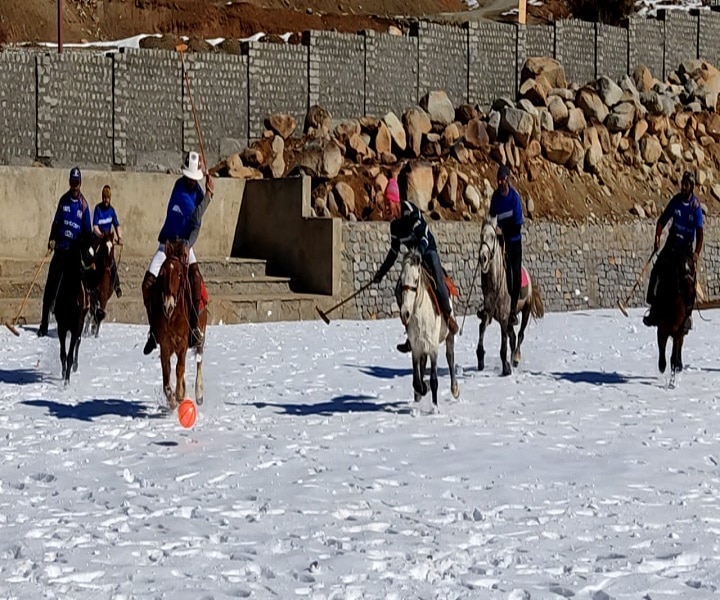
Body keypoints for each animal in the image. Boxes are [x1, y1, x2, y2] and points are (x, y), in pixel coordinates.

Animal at [150, 241, 207, 410]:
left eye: (180, 274)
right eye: (162, 274)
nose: (168, 305)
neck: (173, 315)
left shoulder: (182, 342)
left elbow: (179, 369)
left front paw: (180, 394)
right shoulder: (165, 344)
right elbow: (166, 371)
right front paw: (172, 398)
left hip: (201, 334)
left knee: (199, 360)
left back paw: (198, 394)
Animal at [396, 248, 458, 408]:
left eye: (416, 280)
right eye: (401, 280)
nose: (405, 313)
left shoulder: (433, 348)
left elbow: (434, 380)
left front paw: (434, 407)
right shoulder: (416, 349)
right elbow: (416, 381)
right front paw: (421, 390)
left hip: (449, 336)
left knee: (450, 358)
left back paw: (455, 389)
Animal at [476, 216, 544, 376]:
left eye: (492, 236)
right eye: (481, 236)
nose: (483, 258)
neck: (495, 283)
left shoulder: (504, 317)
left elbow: (504, 344)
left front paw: (506, 367)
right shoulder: (488, 313)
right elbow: (482, 328)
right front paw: (480, 357)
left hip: (525, 311)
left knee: (520, 335)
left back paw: (515, 359)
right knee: (512, 336)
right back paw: (513, 359)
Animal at [656, 250, 696, 386]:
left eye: (692, 268)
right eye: (681, 268)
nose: (690, 292)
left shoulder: (678, 332)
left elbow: (673, 356)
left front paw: (672, 382)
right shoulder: (661, 330)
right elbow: (662, 350)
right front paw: (662, 366)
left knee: (679, 347)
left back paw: (679, 365)